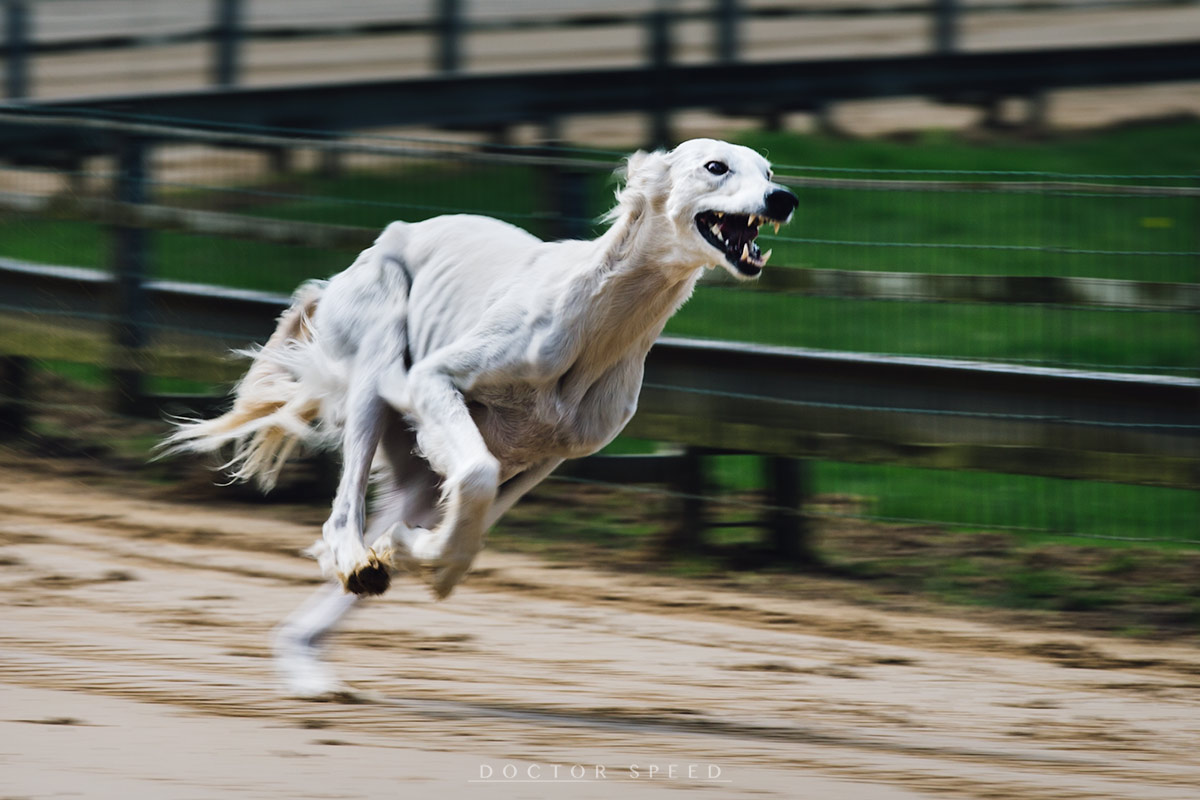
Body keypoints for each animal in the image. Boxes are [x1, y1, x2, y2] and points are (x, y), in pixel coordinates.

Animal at [162, 139, 796, 695]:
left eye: (767, 170)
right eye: (716, 166)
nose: (783, 198)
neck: (596, 317)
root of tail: (350, 265)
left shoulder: (546, 455)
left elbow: (472, 520)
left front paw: (417, 554)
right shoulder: (436, 382)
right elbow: (475, 477)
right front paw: (417, 557)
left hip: (415, 470)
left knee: (371, 532)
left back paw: (312, 659)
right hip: (378, 355)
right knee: (341, 516)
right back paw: (355, 563)